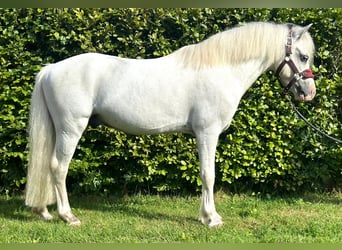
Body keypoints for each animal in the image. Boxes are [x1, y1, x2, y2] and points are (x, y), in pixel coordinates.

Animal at [25, 22, 316, 228]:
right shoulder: (207, 133)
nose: (309, 93)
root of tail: (50, 69)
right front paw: (211, 218)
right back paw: (68, 216)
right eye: (303, 56)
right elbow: (208, 175)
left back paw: (44, 211)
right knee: (58, 167)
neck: (220, 69)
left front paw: (206, 216)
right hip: (70, 129)